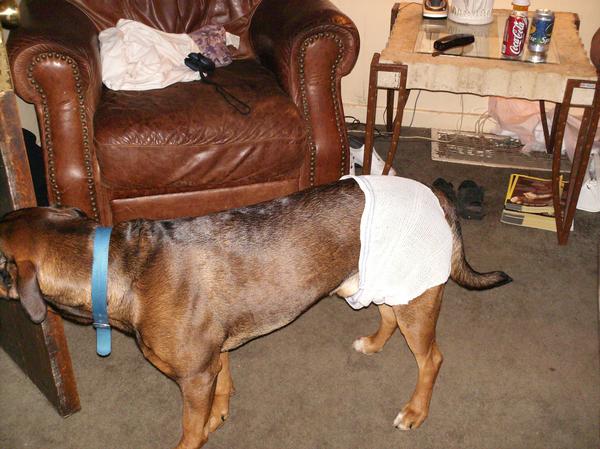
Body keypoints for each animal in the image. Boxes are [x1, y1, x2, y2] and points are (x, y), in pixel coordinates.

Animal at [0, 177, 510, 449]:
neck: (119, 265)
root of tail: (435, 194)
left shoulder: (194, 377)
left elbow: (190, 427)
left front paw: (196, 435)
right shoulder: (212, 359)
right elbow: (223, 387)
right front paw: (219, 415)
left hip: (417, 299)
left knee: (432, 360)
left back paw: (415, 411)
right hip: (381, 280)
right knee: (385, 316)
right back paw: (372, 342)